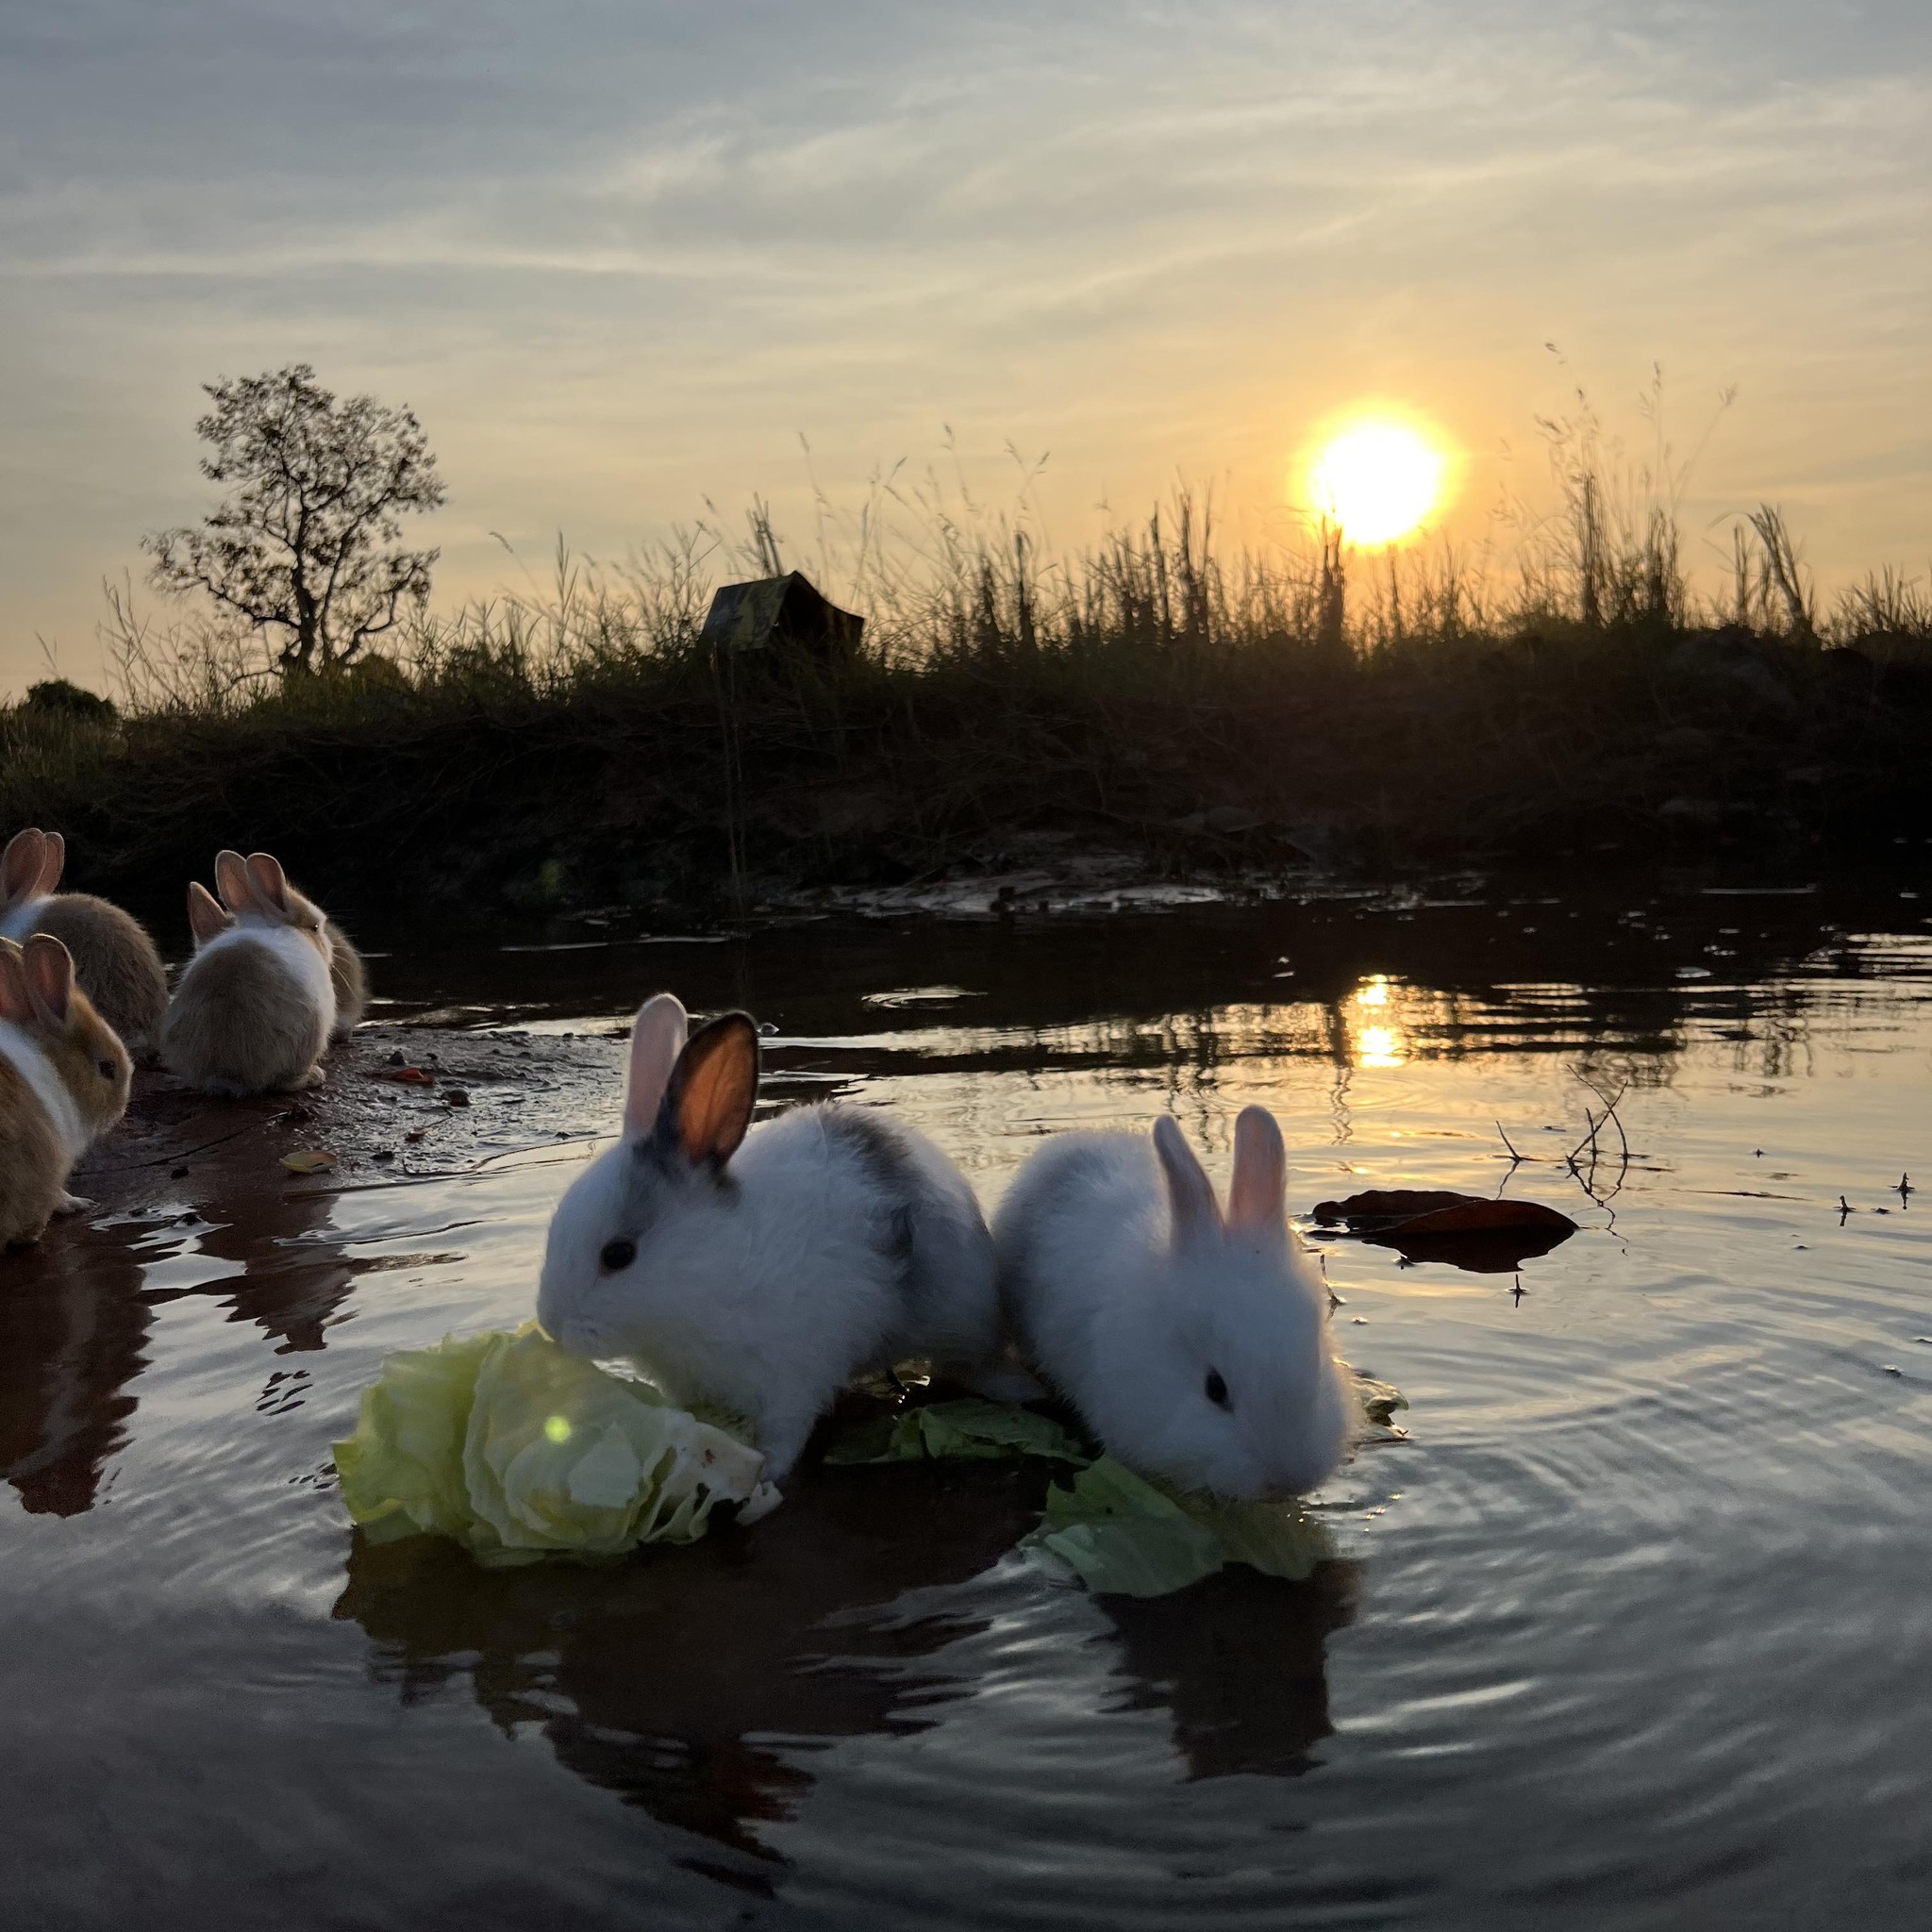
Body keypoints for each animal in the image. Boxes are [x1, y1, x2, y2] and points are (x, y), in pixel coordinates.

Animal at [537, 991, 1004, 1482]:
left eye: (619, 1254)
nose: (551, 1326)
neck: (713, 1268)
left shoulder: (792, 1379)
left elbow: (786, 1435)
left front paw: (763, 1478)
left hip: (959, 1318)